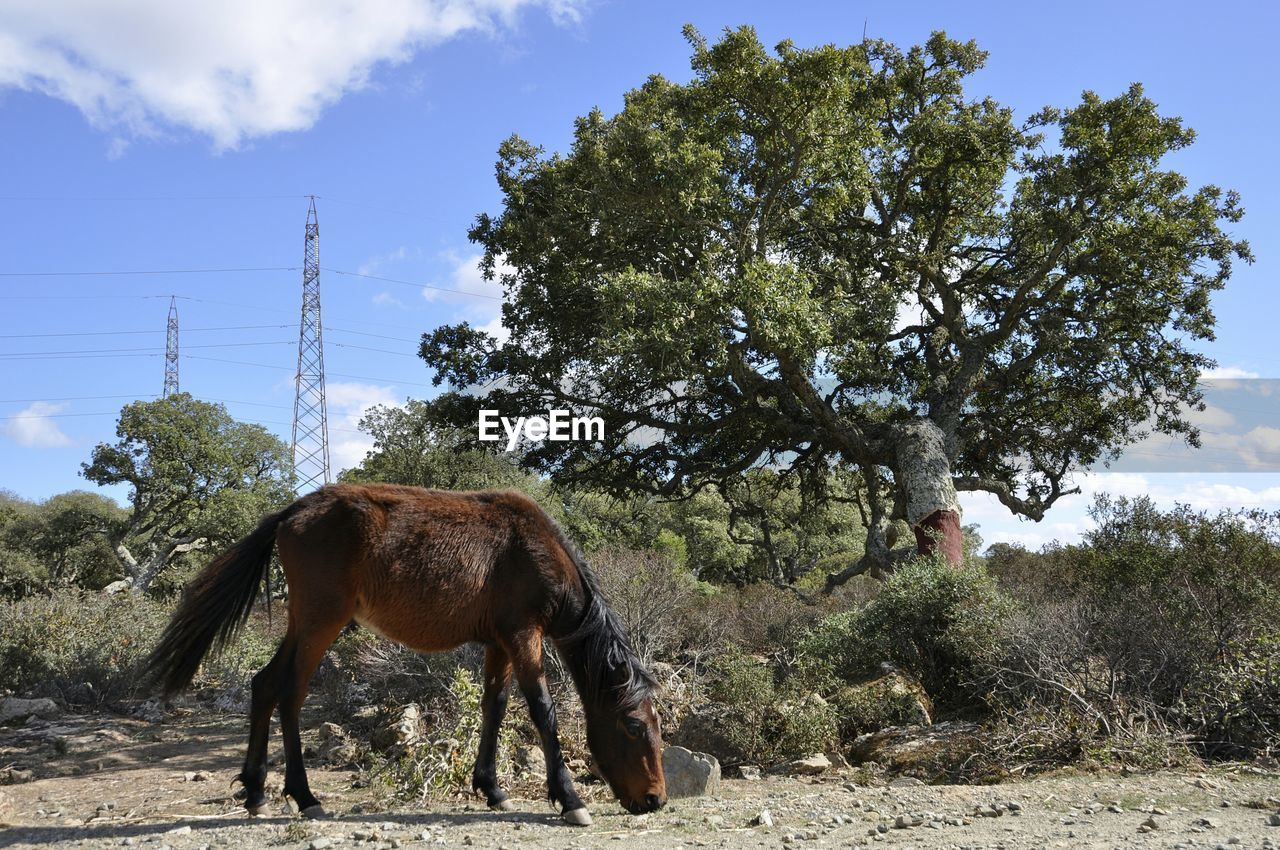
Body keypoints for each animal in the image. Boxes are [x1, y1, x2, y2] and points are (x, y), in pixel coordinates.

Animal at [147, 483, 670, 824]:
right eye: (633, 726)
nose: (656, 800)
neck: (533, 548)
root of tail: (293, 511)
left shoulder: (500, 643)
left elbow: (495, 707)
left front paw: (492, 788)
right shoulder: (525, 635)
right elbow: (543, 712)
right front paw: (569, 798)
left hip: (304, 623)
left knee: (266, 684)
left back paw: (256, 791)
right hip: (321, 621)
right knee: (290, 693)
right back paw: (304, 795)